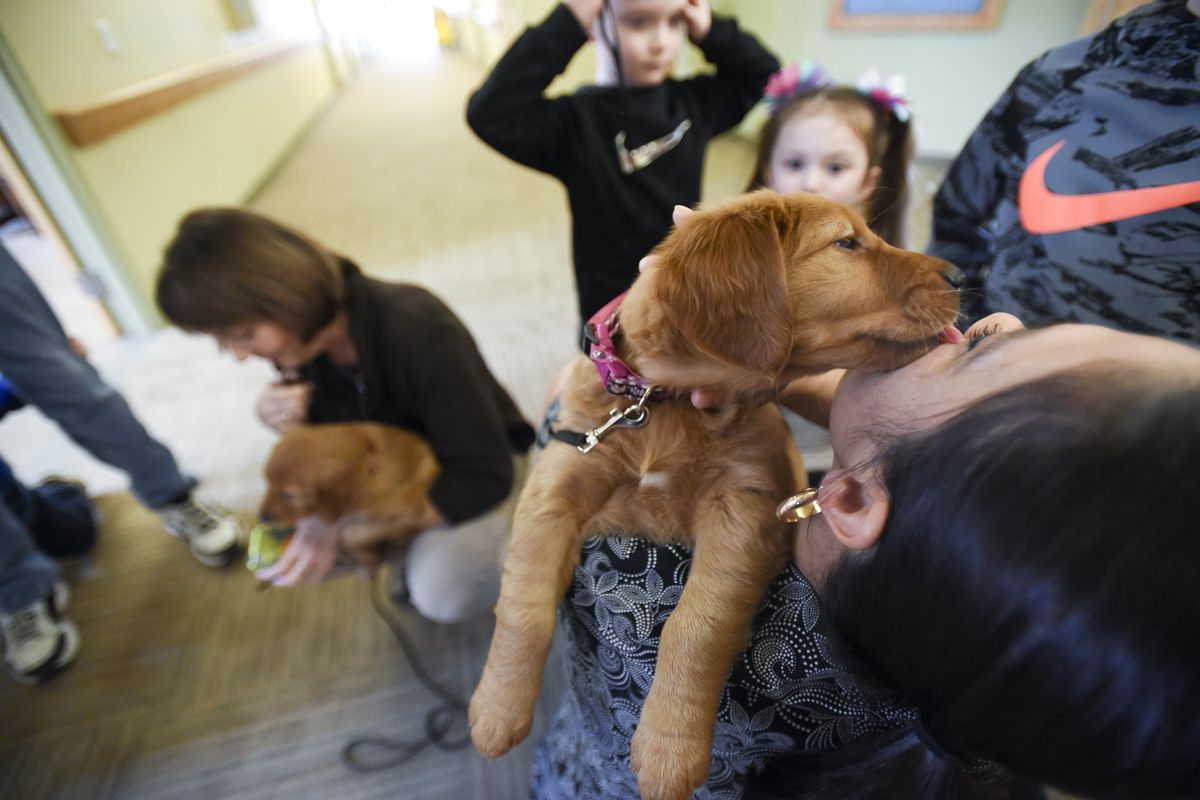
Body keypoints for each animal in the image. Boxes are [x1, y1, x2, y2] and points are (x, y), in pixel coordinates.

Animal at [258, 422, 441, 566]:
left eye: (288, 494)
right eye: (267, 481)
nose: (262, 517)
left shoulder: (406, 511)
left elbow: (350, 535)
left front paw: (368, 556)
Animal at [463, 191, 960, 800]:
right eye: (846, 243)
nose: (961, 276)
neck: (660, 405)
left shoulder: (746, 508)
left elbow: (696, 622)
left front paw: (669, 748)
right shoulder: (555, 481)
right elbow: (523, 603)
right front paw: (497, 709)